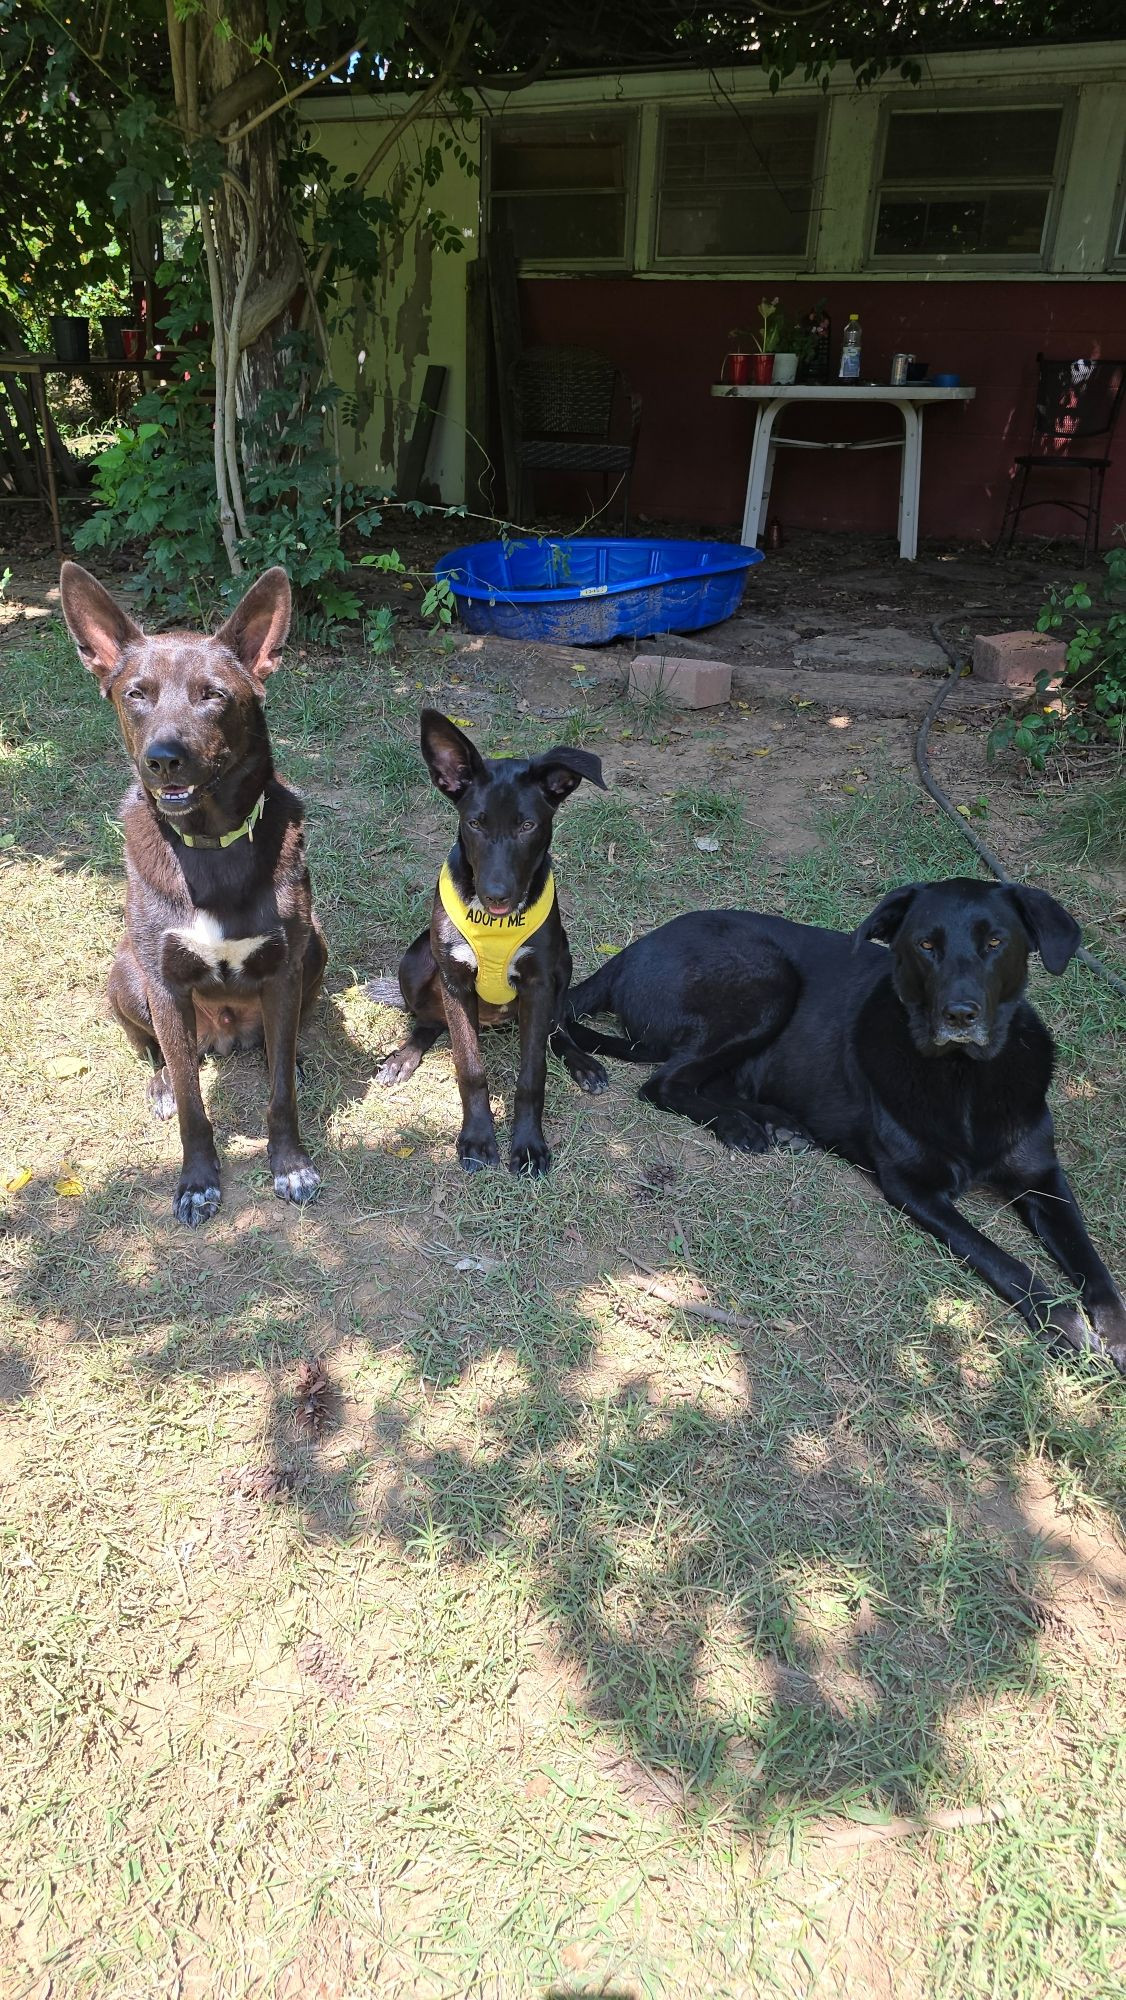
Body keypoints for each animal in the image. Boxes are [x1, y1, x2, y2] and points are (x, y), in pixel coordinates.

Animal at [374, 712, 608, 1168]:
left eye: (528, 825)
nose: (496, 895)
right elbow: (470, 1068)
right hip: (415, 961)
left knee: (556, 1027)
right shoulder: (455, 980)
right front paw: (479, 1139)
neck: (496, 926)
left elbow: (532, 1075)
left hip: (563, 958)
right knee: (429, 1021)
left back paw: (581, 1062)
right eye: (475, 823)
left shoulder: (538, 982)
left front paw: (529, 1145)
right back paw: (403, 1057)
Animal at [568, 884, 1126, 1368]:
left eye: (995, 942)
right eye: (926, 944)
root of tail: (635, 947)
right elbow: (1001, 1259)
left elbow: (1091, 1260)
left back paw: (778, 1123)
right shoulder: (914, 1188)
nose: (959, 1014)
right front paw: (1062, 1322)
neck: (965, 1077)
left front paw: (1114, 1332)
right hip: (768, 978)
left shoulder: (1043, 1178)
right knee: (663, 1083)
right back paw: (739, 1127)